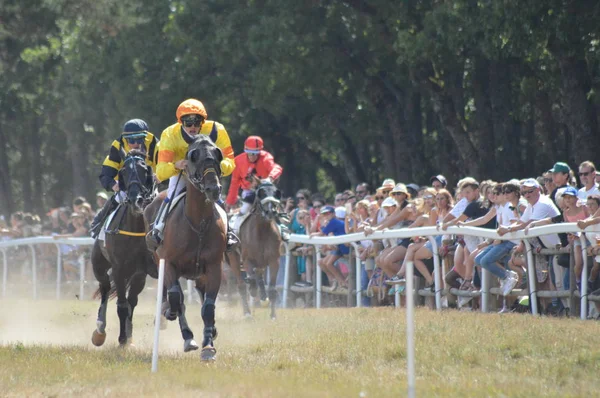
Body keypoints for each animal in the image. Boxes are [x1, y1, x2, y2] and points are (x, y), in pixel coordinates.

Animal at [144, 134, 226, 360]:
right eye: (192, 156)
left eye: (218, 153)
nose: (213, 189)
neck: (198, 224)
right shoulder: (169, 263)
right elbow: (176, 298)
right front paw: (181, 328)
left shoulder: (214, 266)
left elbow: (208, 307)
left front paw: (209, 346)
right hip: (158, 259)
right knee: (175, 296)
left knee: (202, 295)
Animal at [226, 182, 282, 318]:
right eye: (261, 193)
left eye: (277, 193)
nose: (270, 212)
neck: (262, 231)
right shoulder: (247, 260)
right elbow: (251, 284)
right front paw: (253, 290)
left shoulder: (274, 261)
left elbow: (272, 289)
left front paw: (273, 315)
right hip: (234, 259)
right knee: (241, 285)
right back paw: (247, 313)